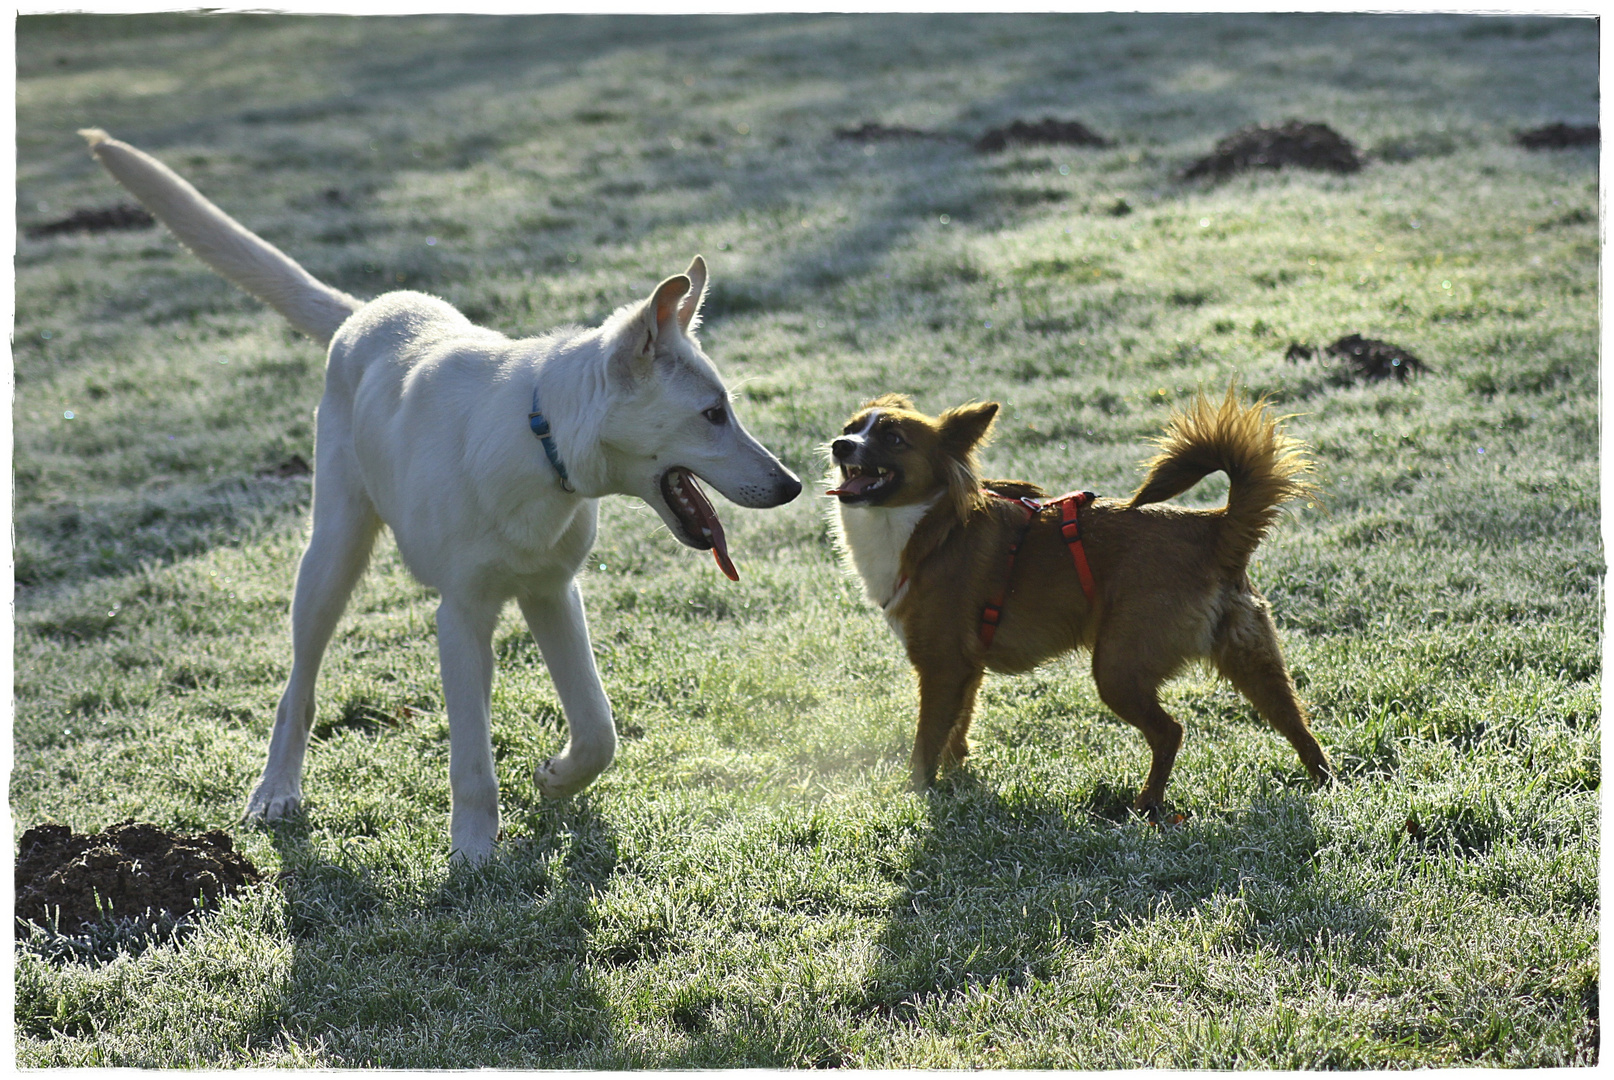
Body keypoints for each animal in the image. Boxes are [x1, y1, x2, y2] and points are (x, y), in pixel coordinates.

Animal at [81, 130, 800, 865]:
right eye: (713, 414)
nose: (792, 486)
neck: (542, 442)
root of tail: (362, 314)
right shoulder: (459, 614)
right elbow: (472, 760)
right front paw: (475, 855)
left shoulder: (552, 593)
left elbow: (598, 728)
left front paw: (554, 779)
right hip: (333, 553)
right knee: (300, 688)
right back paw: (276, 790)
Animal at [826, 387, 1329, 807]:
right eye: (852, 427)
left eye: (893, 439)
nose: (839, 444)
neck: (931, 524)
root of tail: (1214, 527)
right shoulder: (965, 669)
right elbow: (957, 730)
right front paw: (955, 780)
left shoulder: (941, 665)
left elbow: (928, 739)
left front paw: (917, 794)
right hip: (1253, 659)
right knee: (1296, 722)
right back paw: (1324, 783)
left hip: (1118, 669)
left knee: (1170, 732)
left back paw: (1147, 805)